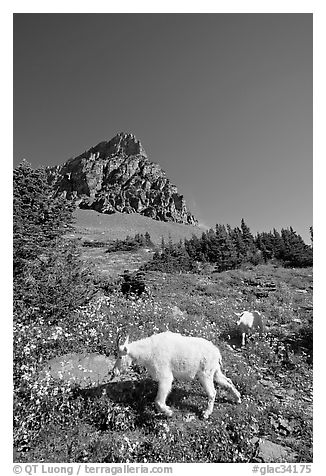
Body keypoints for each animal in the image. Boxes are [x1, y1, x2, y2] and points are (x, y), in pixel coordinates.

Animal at [111, 332, 241, 418]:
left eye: (120, 356)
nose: (114, 371)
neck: (148, 351)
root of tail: (217, 354)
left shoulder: (165, 376)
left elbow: (158, 401)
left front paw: (169, 412)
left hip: (206, 373)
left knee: (212, 393)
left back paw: (206, 413)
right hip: (215, 371)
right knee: (228, 381)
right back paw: (238, 398)